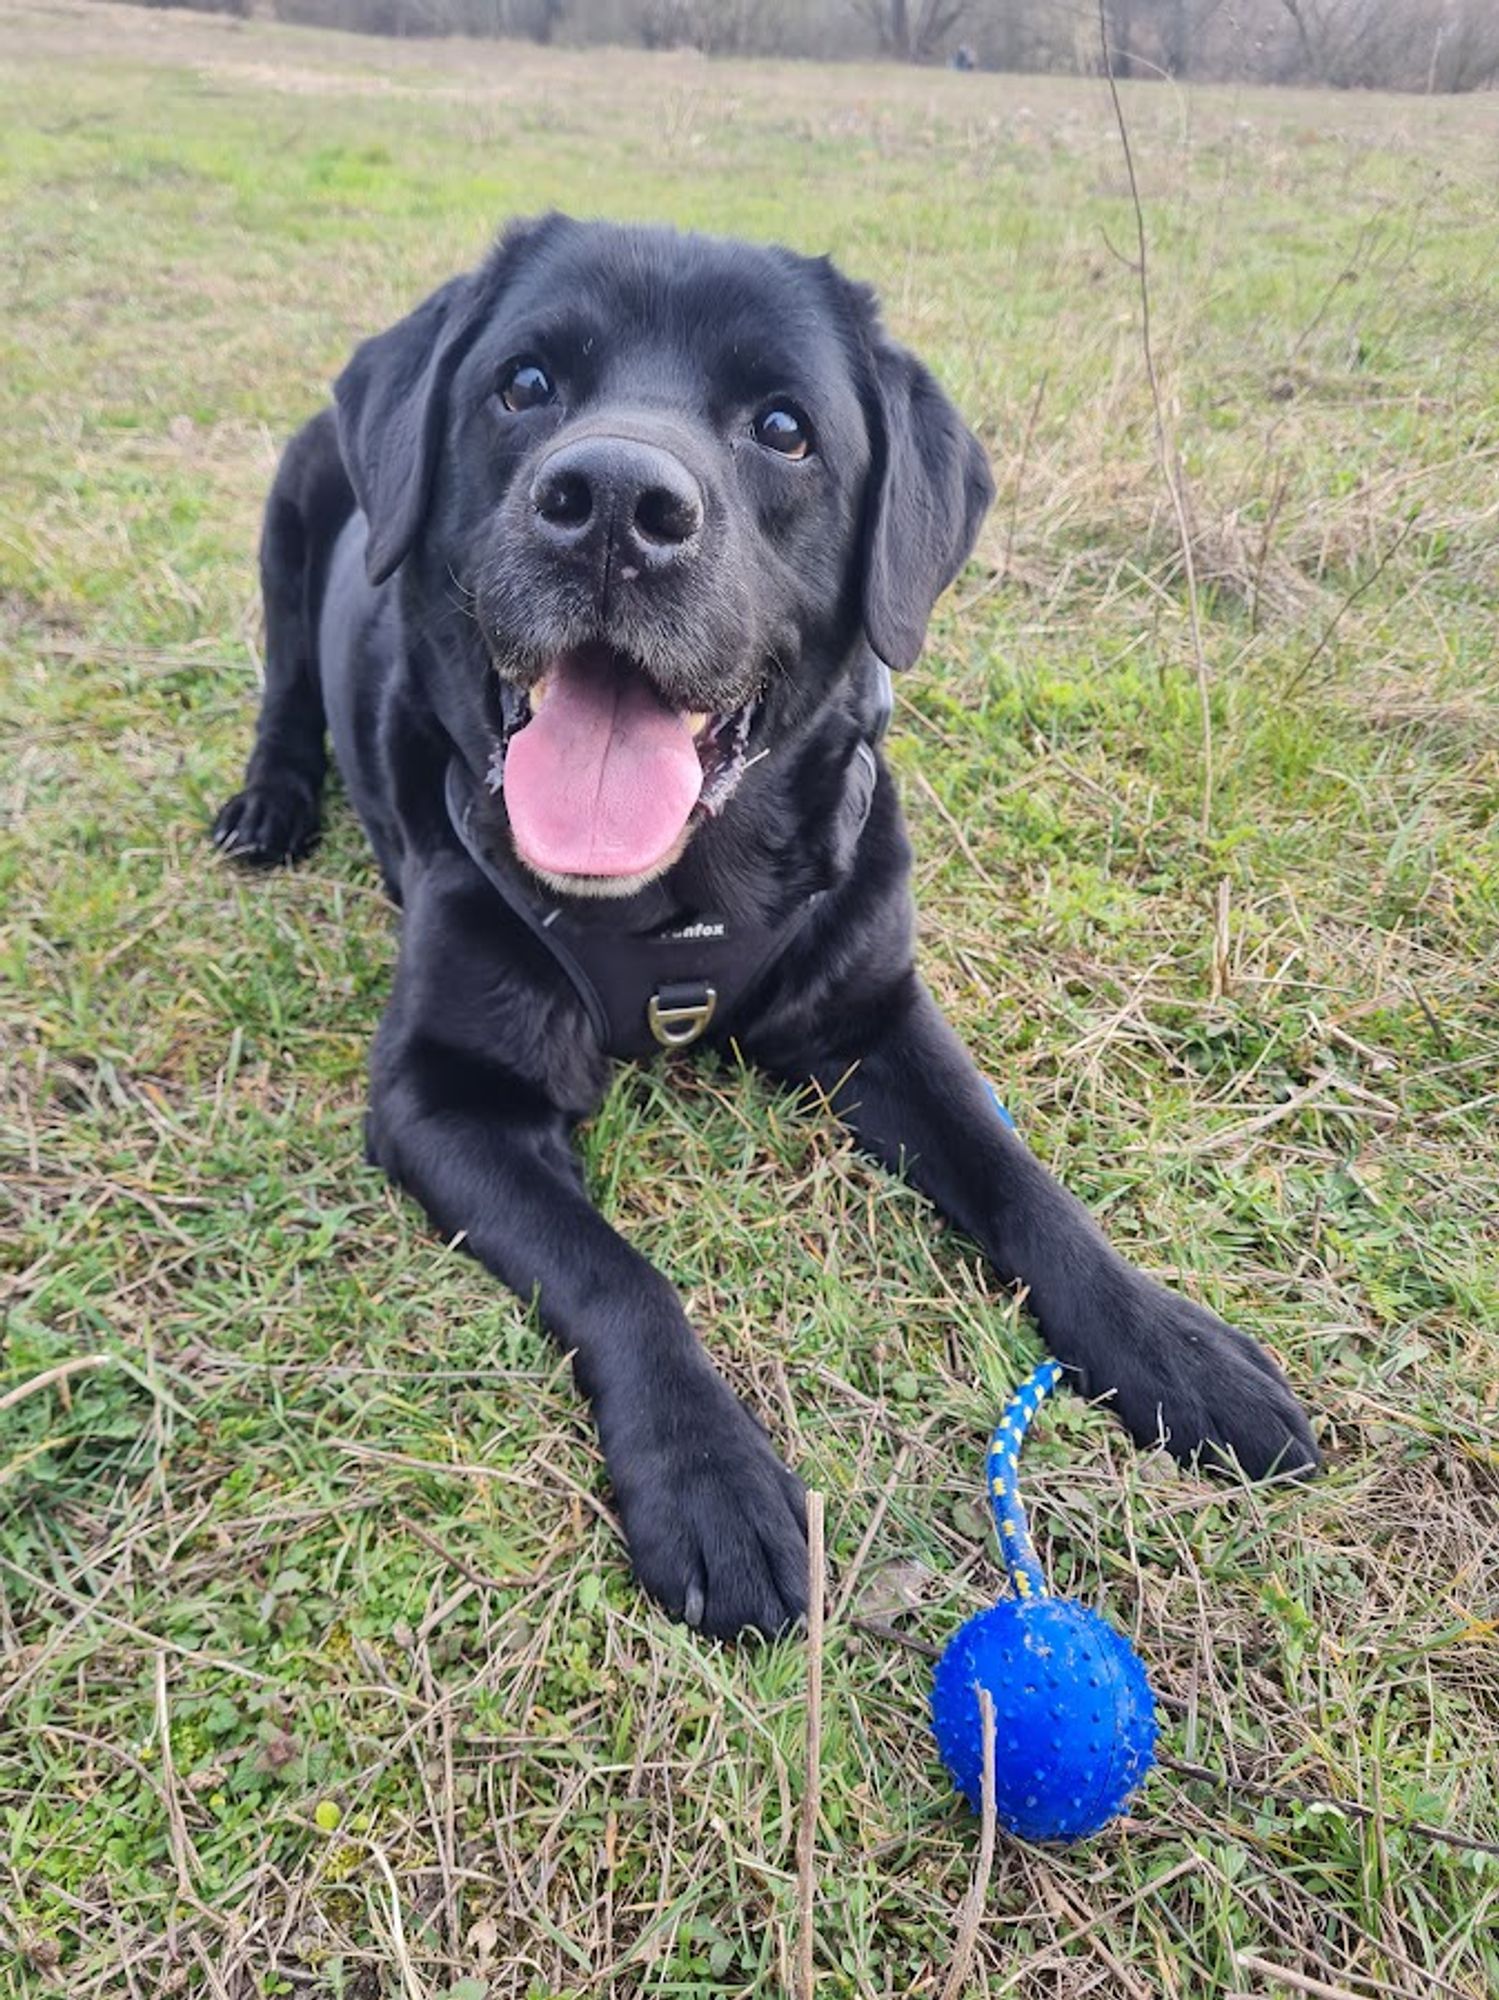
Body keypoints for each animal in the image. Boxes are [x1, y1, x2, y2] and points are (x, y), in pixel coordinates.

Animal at [216, 215, 1319, 1640]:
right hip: (292, 515)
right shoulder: (441, 1096)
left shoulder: (876, 1011)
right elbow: (617, 1273)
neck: (681, 900)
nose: (614, 504)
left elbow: (1021, 1180)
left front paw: (1170, 1342)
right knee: (282, 687)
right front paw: (712, 1479)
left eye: (784, 428)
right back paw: (267, 802)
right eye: (524, 385)